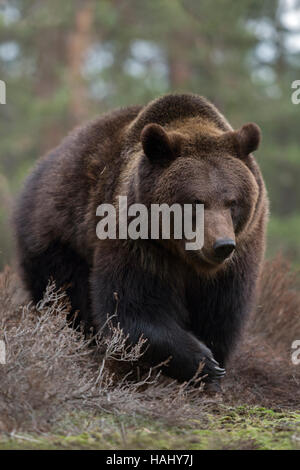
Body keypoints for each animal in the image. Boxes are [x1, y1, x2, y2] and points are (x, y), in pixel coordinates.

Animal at [13, 93, 268, 388]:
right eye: (196, 201)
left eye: (233, 202)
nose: (222, 245)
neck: (185, 255)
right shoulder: (138, 239)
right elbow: (133, 307)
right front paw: (203, 362)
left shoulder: (242, 249)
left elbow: (221, 312)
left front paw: (213, 365)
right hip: (58, 232)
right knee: (65, 291)